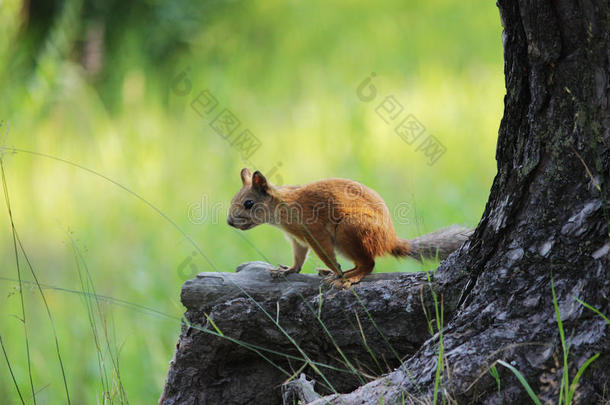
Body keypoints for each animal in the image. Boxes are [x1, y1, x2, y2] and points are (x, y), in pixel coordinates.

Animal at [227, 167, 470, 288]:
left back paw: (346, 277)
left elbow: (324, 253)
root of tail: (389, 240)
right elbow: (299, 258)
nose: (229, 222)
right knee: (361, 262)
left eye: (248, 203)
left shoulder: (314, 230)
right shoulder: (297, 239)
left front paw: (334, 269)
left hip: (349, 230)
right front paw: (288, 270)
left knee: (368, 264)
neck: (281, 206)